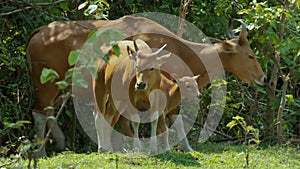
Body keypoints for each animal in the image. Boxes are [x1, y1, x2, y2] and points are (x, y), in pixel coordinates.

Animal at [26, 15, 264, 157]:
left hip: (61, 87)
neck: (180, 49)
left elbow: (173, 120)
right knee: (39, 113)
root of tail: (40, 30)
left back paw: (59, 141)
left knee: (50, 111)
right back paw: (40, 152)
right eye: (250, 55)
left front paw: (183, 147)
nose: (263, 78)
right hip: (47, 86)